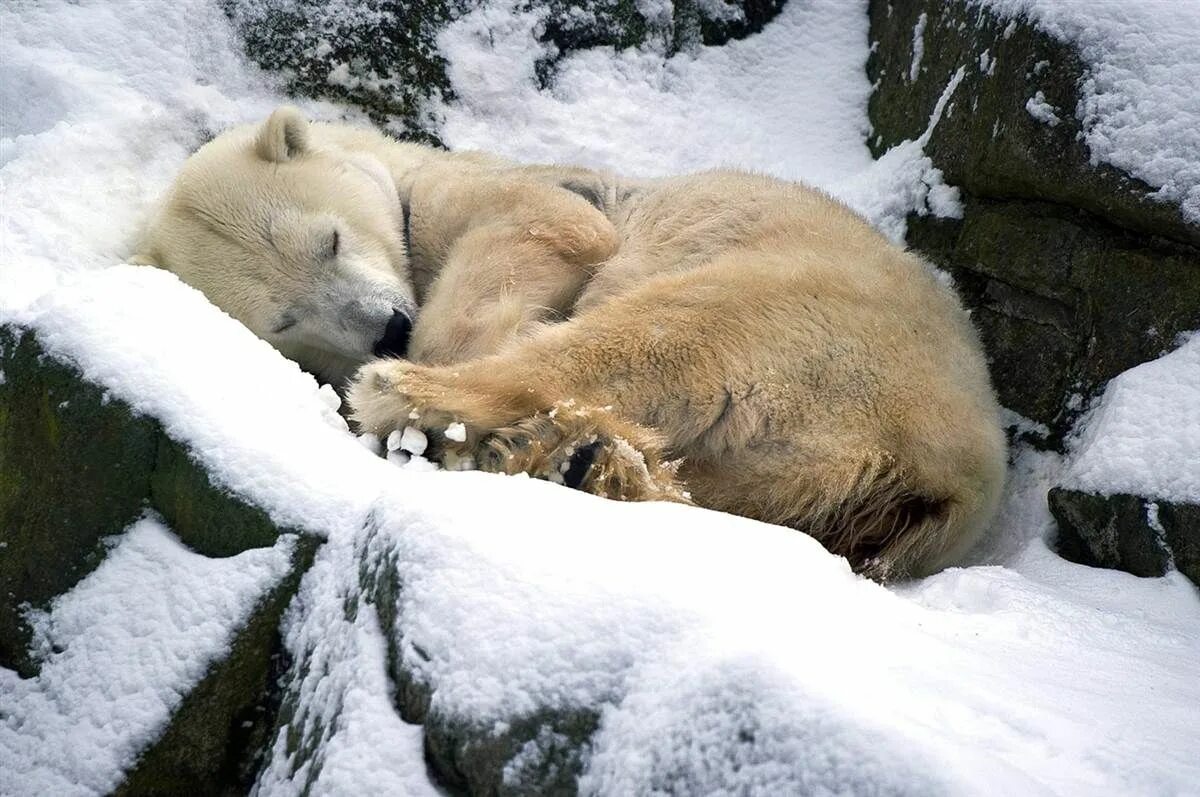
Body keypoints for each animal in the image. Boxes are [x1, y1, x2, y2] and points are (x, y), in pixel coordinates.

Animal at [136, 105, 1008, 578]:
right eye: (283, 318)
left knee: (655, 334)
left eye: (330, 239)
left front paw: (433, 357)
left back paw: (417, 406)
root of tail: (955, 475)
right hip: (806, 464)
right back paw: (581, 460)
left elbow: (551, 226)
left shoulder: (514, 189)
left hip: (808, 309)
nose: (389, 327)